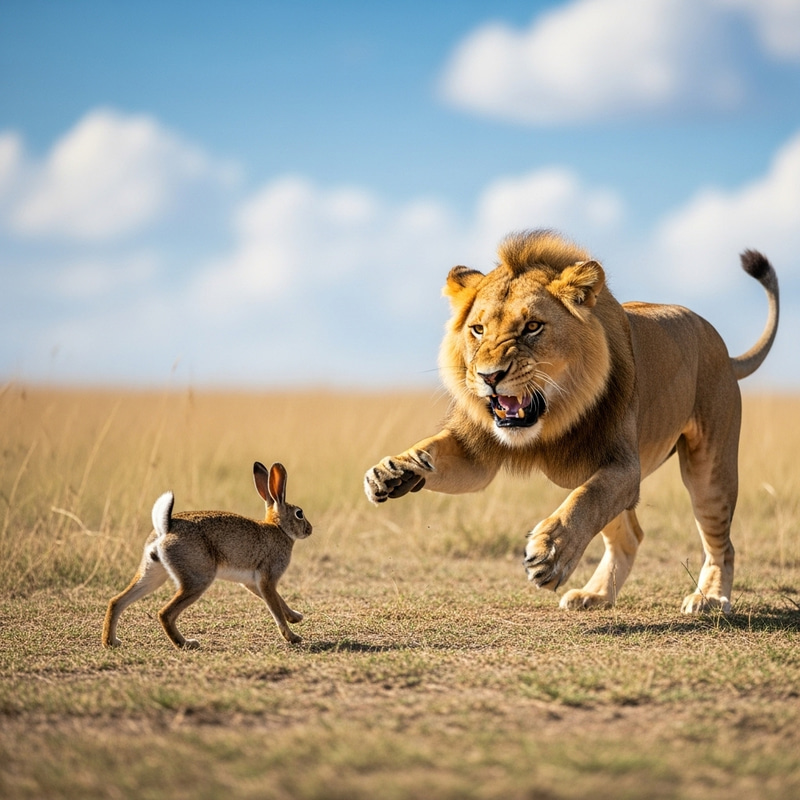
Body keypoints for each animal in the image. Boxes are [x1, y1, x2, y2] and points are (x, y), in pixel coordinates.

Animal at [102, 461, 312, 649]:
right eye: (299, 513)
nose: (309, 530)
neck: (279, 528)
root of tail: (165, 529)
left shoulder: (253, 583)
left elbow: (279, 600)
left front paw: (296, 616)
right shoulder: (267, 579)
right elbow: (275, 608)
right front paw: (293, 637)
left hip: (153, 573)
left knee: (117, 601)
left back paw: (111, 642)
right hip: (198, 578)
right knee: (165, 614)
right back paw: (187, 644)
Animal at [364, 230, 780, 614]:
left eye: (532, 327)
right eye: (477, 330)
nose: (489, 376)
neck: (548, 420)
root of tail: (723, 348)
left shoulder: (622, 466)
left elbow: (585, 500)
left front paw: (551, 554)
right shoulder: (476, 453)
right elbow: (435, 451)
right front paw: (395, 471)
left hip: (709, 469)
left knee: (721, 543)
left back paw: (710, 597)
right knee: (631, 535)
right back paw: (595, 595)